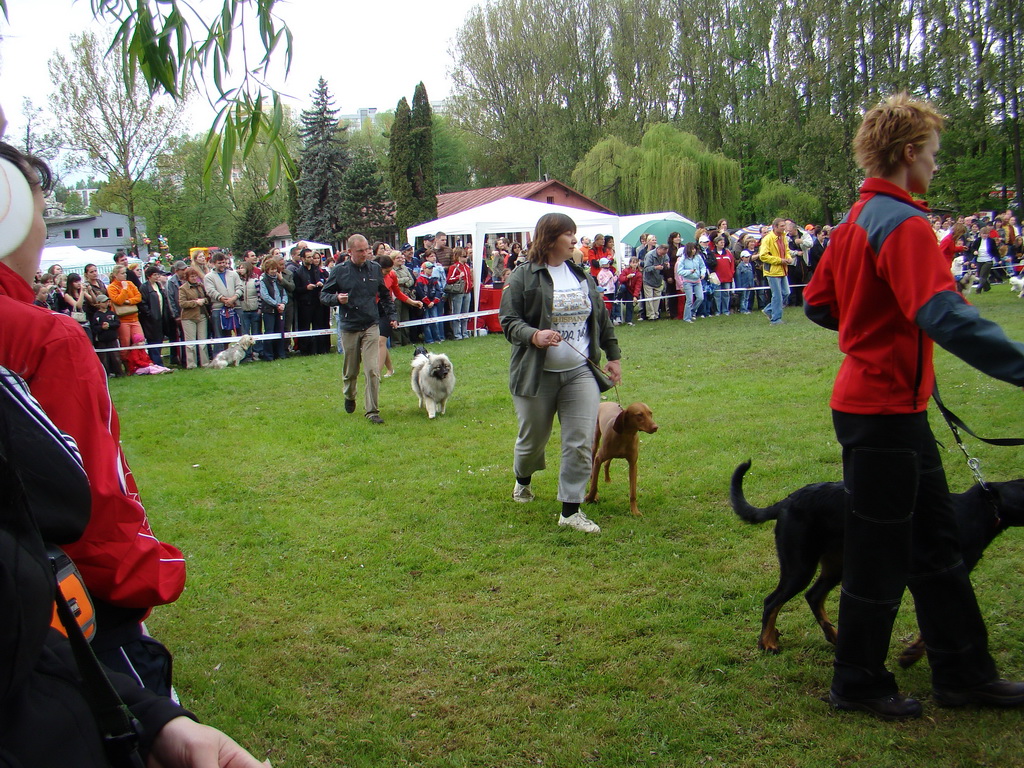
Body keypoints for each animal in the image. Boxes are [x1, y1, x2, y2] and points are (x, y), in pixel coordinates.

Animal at [733, 460, 1019, 663]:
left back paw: (835, 637)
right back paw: (768, 643)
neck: (972, 512)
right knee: (772, 602)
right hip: (800, 566)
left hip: (835, 564)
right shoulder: (939, 580)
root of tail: (786, 501)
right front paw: (911, 656)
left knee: (813, 596)